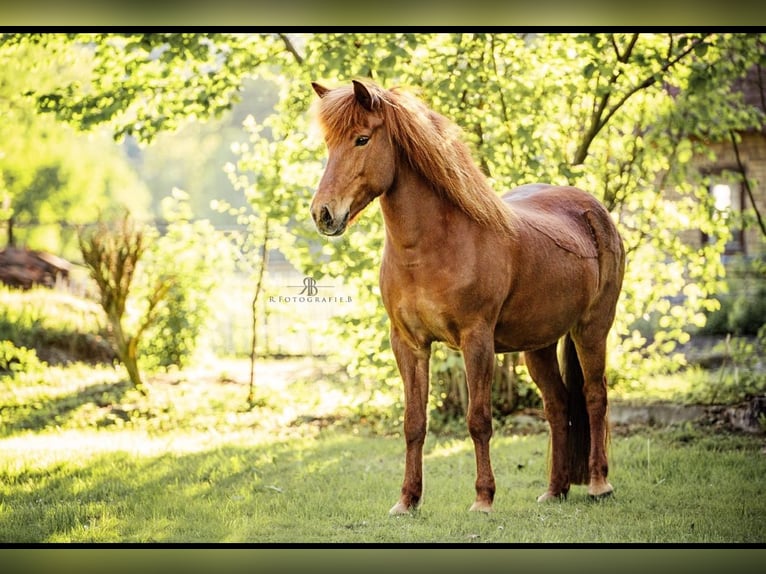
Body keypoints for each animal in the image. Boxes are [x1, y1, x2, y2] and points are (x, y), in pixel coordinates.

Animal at [309, 79, 625, 515]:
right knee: (558, 405)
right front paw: (407, 500)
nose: (323, 214)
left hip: (591, 329)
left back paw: (598, 484)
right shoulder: (408, 344)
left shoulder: (476, 341)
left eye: (361, 139)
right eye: (329, 144)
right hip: (539, 345)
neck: (433, 246)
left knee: (595, 396)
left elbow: (478, 421)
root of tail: (594, 210)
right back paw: (555, 489)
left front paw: (483, 499)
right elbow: (413, 423)